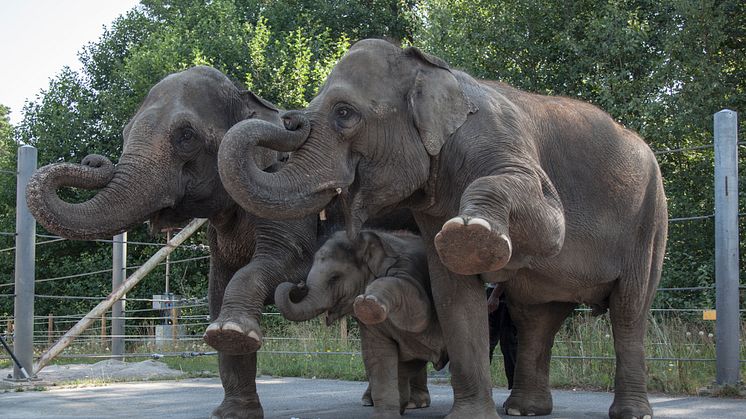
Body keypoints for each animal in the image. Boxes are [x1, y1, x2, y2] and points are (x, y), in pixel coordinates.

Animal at [274, 231, 444, 418]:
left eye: (335, 278)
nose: (298, 285)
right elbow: (377, 355)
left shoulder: (409, 270)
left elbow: (418, 307)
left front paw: (368, 302)